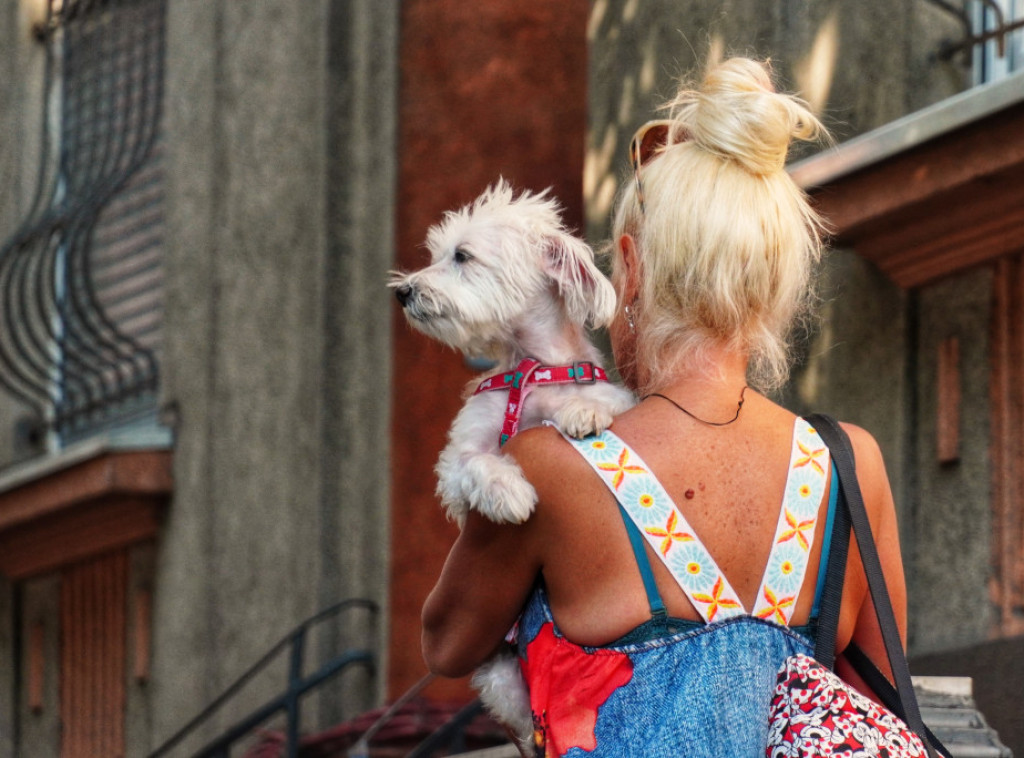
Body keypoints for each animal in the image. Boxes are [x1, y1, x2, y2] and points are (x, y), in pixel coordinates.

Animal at [389, 182, 630, 753]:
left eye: (462, 256)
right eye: (438, 254)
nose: (403, 291)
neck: (531, 368)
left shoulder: (612, 395)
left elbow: (600, 402)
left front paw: (581, 413)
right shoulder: (458, 458)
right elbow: (478, 464)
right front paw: (511, 494)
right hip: (502, 681)